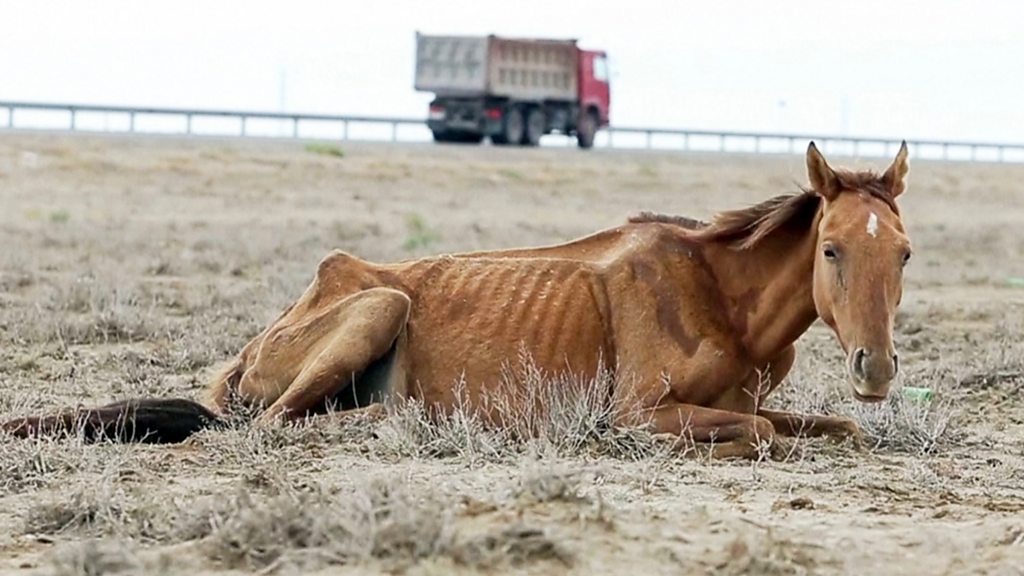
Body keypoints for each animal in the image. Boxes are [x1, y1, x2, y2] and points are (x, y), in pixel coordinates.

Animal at [0, 141, 913, 455]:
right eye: (830, 249)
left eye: (904, 253)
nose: (874, 370)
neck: (720, 294)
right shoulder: (633, 416)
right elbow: (761, 434)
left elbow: (823, 429)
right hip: (379, 308)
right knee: (263, 427)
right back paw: (399, 419)